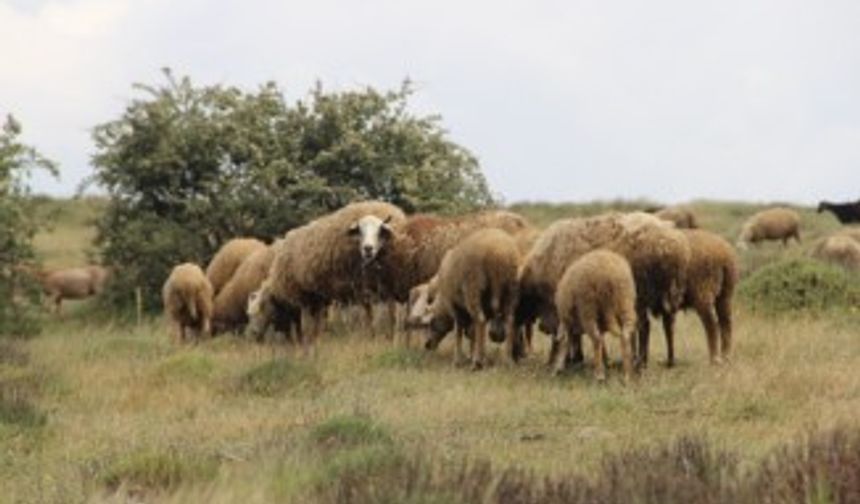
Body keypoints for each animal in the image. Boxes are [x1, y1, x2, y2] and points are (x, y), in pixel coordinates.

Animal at [422, 230, 516, 368]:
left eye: (431, 323)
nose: (427, 345)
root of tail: (499, 253)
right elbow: (473, 333)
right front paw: (474, 355)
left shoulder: (456, 308)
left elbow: (459, 332)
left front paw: (459, 360)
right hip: (510, 292)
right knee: (509, 321)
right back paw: (507, 360)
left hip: (473, 288)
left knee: (480, 320)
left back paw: (477, 363)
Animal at [556, 250, 636, 384]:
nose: (557, 370)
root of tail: (609, 277)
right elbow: (603, 342)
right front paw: (607, 361)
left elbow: (566, 340)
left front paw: (559, 368)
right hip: (625, 302)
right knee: (625, 336)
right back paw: (626, 376)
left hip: (587, 307)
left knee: (596, 339)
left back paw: (599, 375)